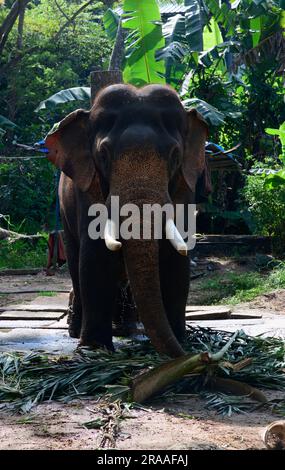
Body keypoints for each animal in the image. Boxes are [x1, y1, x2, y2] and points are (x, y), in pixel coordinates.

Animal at [44, 82, 209, 358]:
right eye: (104, 154)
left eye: (175, 154)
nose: (203, 356)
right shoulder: (88, 185)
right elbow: (95, 256)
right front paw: (94, 350)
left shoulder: (184, 184)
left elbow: (175, 259)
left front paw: (181, 341)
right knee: (75, 264)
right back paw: (76, 331)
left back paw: (127, 329)